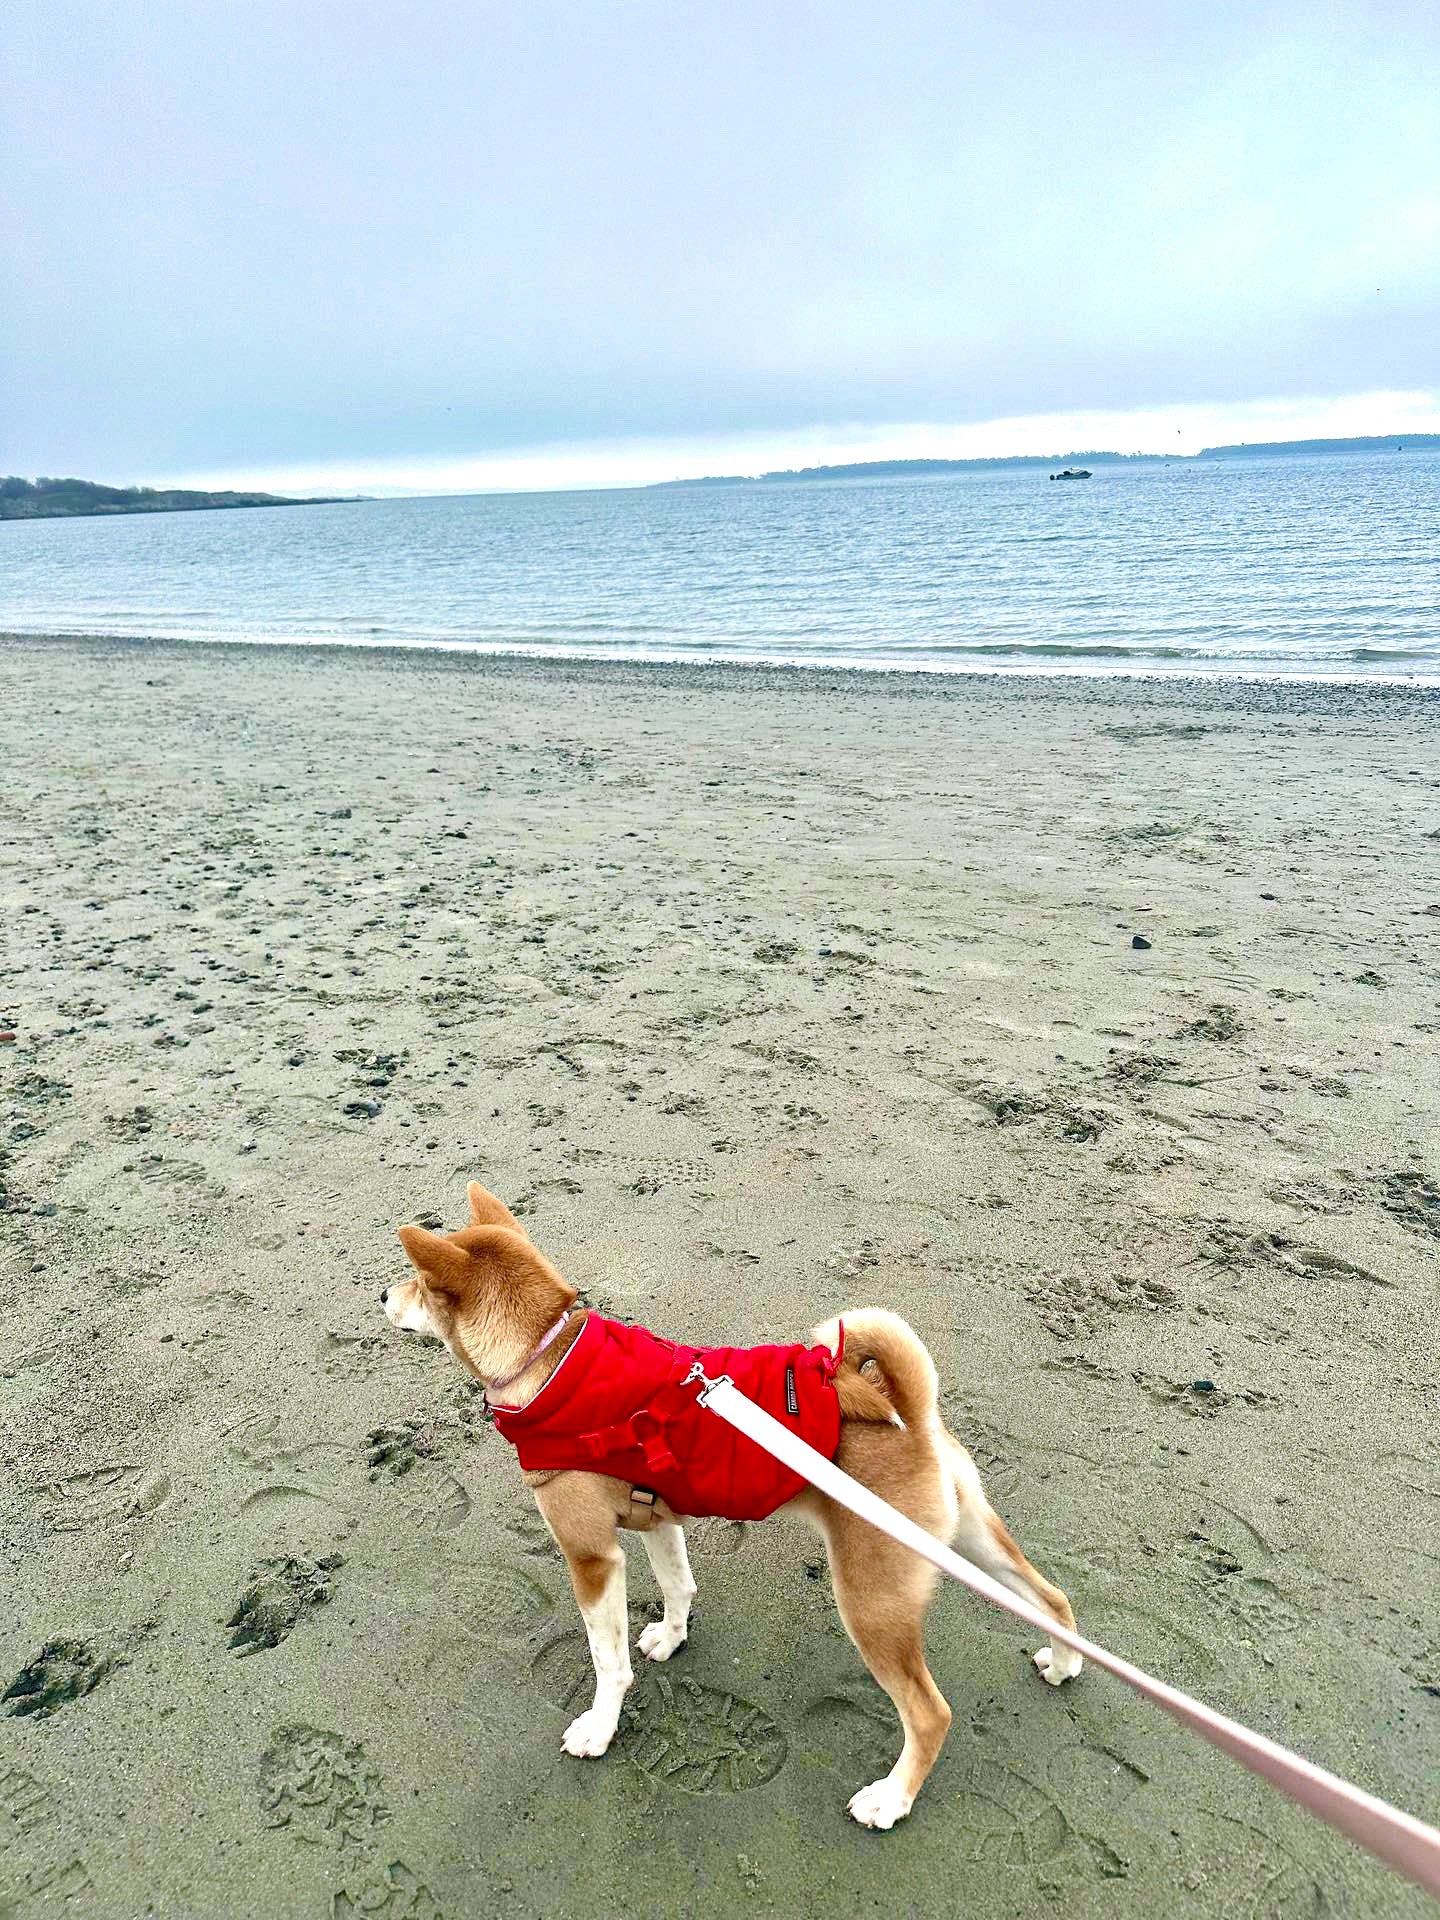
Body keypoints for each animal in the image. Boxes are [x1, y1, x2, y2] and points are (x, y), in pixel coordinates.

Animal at [384, 1182, 1082, 1827]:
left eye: (419, 1282)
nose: (383, 1297)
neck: (548, 1359)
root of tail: (912, 1416)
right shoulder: (656, 1517)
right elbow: (678, 1587)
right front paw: (671, 1638)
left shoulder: (592, 1557)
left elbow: (608, 1663)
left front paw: (600, 1729)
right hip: (969, 1541)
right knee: (1051, 1598)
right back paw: (1064, 1662)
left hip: (873, 1598)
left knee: (930, 1713)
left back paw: (892, 1799)